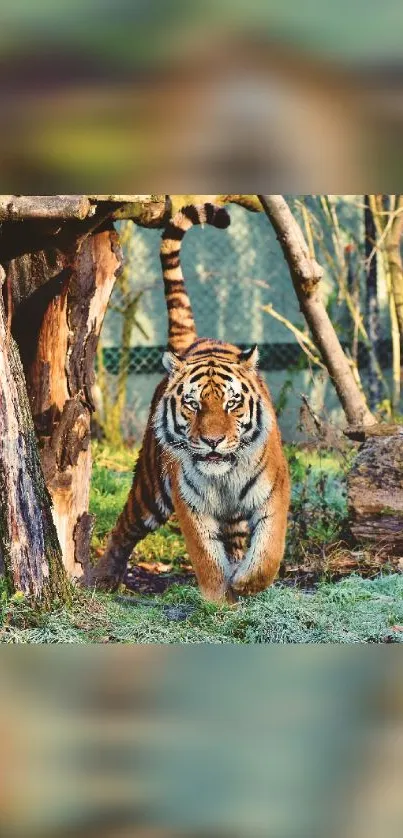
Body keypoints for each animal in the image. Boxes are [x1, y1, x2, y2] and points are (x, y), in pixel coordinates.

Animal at [92, 202, 290, 604]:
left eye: (232, 404)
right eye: (193, 405)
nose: (213, 441)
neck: (225, 477)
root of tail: (195, 342)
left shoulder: (274, 493)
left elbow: (268, 552)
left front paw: (246, 583)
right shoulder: (191, 504)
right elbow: (206, 557)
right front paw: (218, 598)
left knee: (236, 540)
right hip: (150, 489)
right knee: (123, 528)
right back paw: (102, 578)